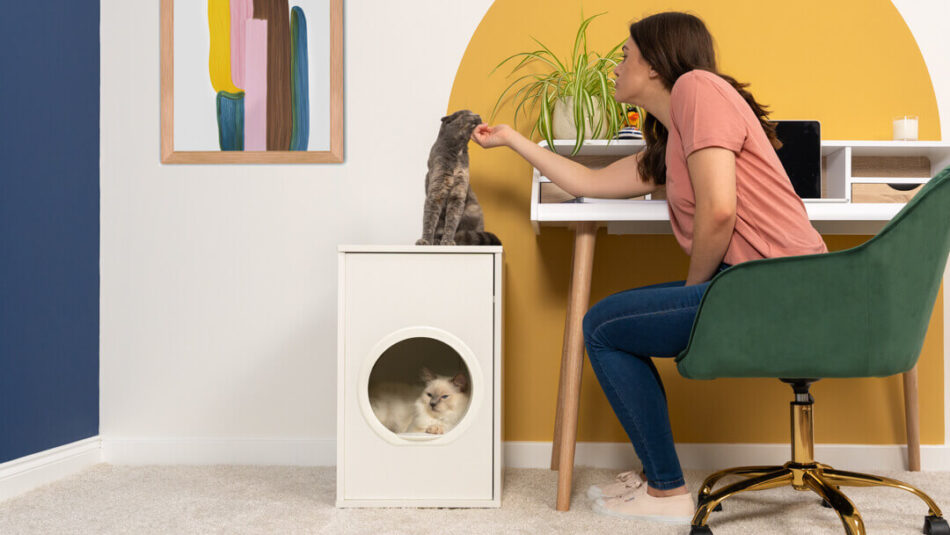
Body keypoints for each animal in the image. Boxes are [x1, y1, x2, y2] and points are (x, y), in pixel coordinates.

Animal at [416, 109, 506, 247]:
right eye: (467, 114)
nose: (478, 115)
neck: (458, 151)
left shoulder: (458, 192)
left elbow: (452, 221)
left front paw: (447, 241)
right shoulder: (437, 190)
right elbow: (429, 220)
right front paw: (425, 241)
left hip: (472, 210)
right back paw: (436, 240)